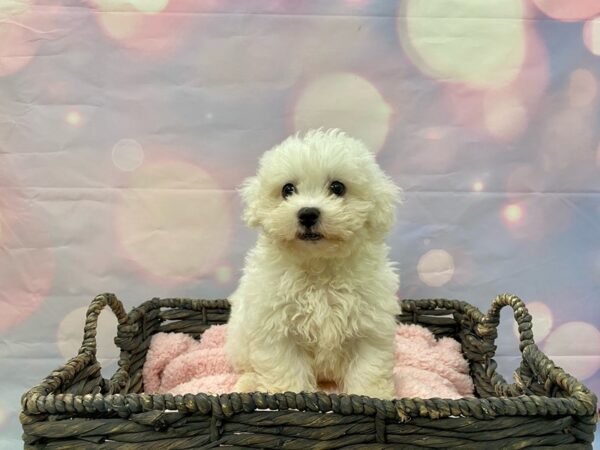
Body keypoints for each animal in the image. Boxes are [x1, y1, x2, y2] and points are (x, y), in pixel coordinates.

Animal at [225, 128, 404, 400]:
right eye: (287, 189)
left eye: (338, 187)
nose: (308, 213)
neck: (319, 267)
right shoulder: (276, 328)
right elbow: (285, 368)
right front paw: (286, 396)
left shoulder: (371, 327)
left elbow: (368, 370)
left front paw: (373, 399)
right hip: (239, 340)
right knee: (248, 367)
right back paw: (247, 384)